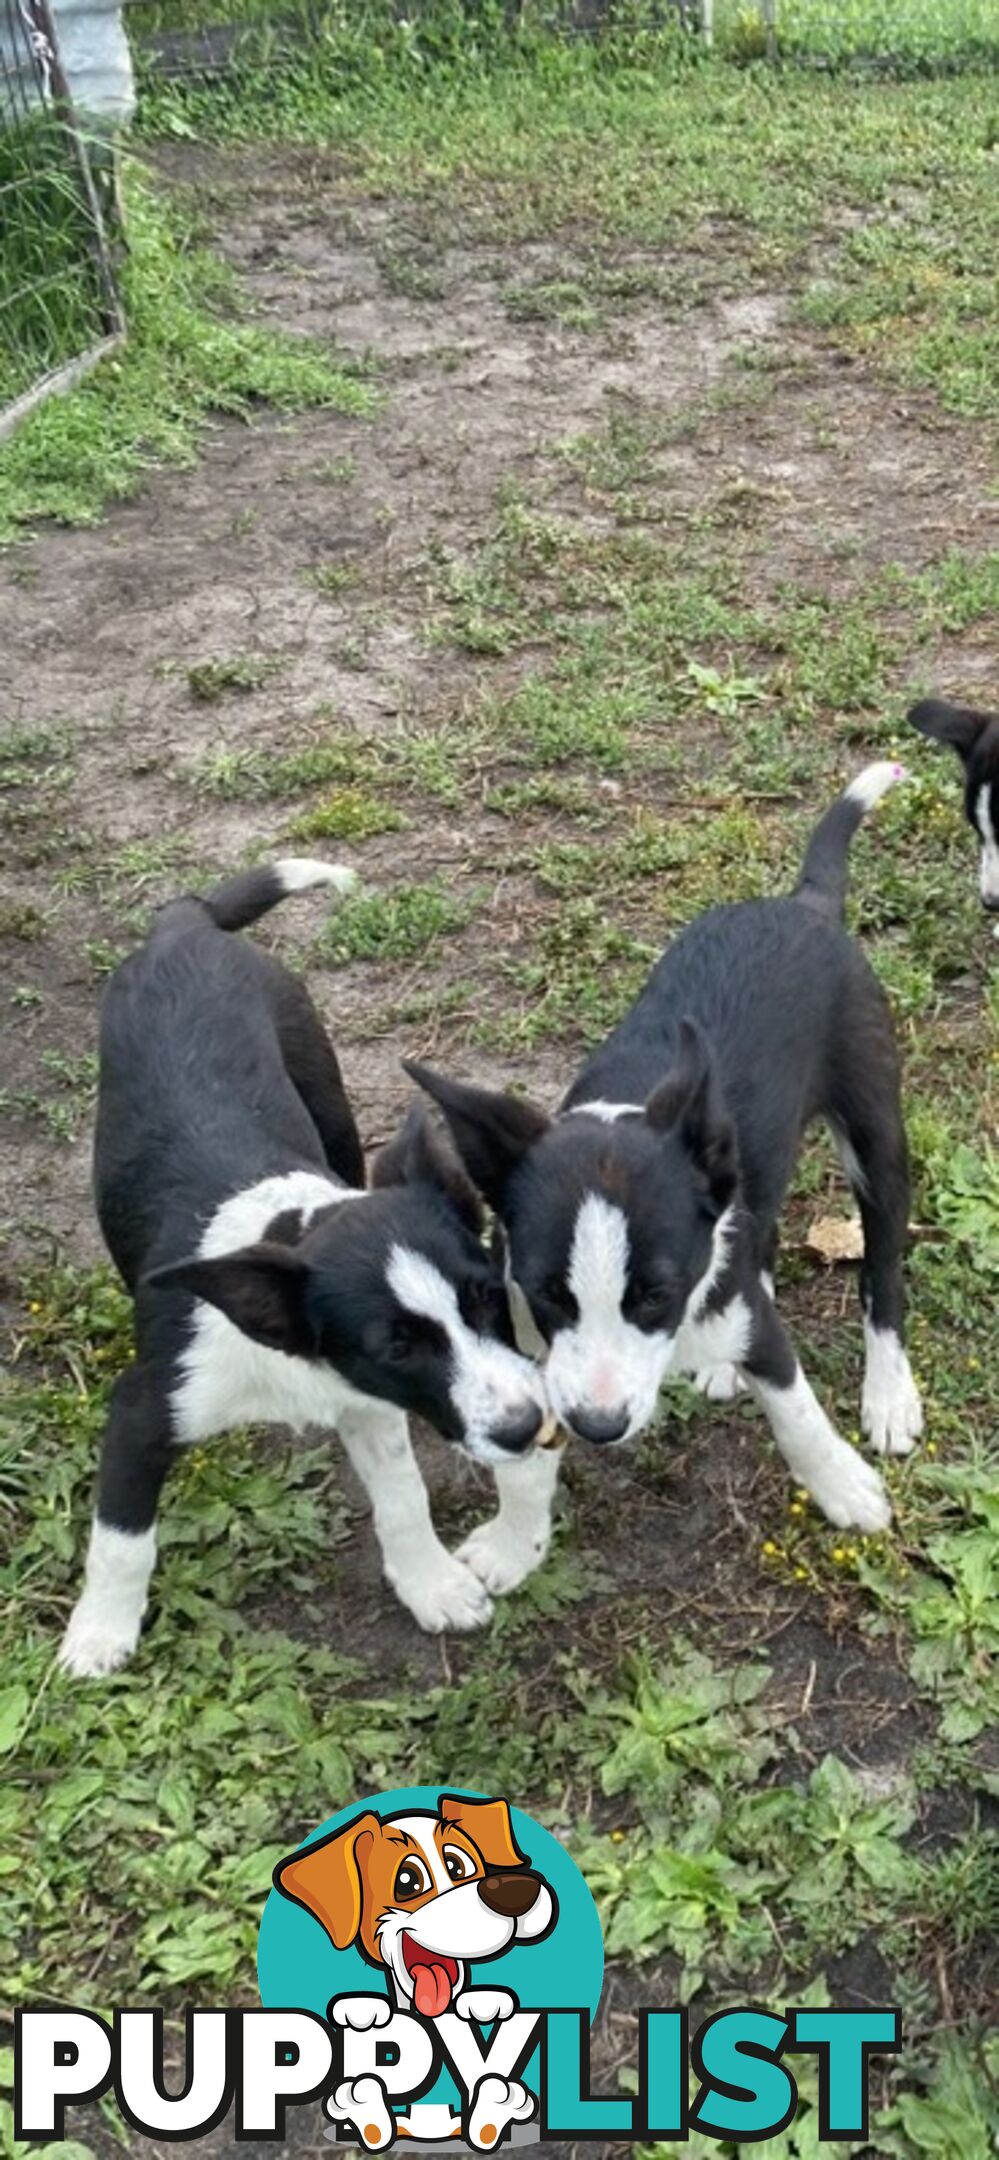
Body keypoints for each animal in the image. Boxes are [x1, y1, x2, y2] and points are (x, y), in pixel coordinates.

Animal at [58, 864, 553, 1684]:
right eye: (397, 1347)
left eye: (487, 1297)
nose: (527, 1428)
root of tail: (186, 926)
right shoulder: (143, 1412)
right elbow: (121, 1542)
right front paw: (98, 1636)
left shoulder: (369, 1406)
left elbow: (404, 1498)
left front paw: (432, 1585)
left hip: (325, 1090)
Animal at [408, 768, 925, 1546]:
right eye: (549, 1293)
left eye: (655, 1293)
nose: (598, 1426)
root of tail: (804, 903)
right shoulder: (529, 1336)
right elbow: (525, 1453)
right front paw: (511, 1543)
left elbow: (796, 1409)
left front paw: (843, 1487)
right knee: (761, 1229)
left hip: (872, 1127)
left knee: (881, 1268)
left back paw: (888, 1392)